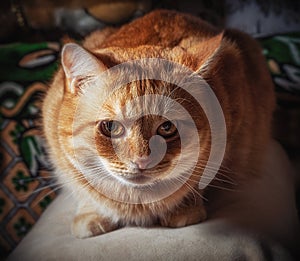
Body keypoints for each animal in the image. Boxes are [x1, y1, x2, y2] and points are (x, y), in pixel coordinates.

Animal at [42, 10, 276, 237]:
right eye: (111, 127)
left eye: (167, 127)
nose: (142, 160)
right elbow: (83, 189)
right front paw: (91, 212)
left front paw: (185, 208)